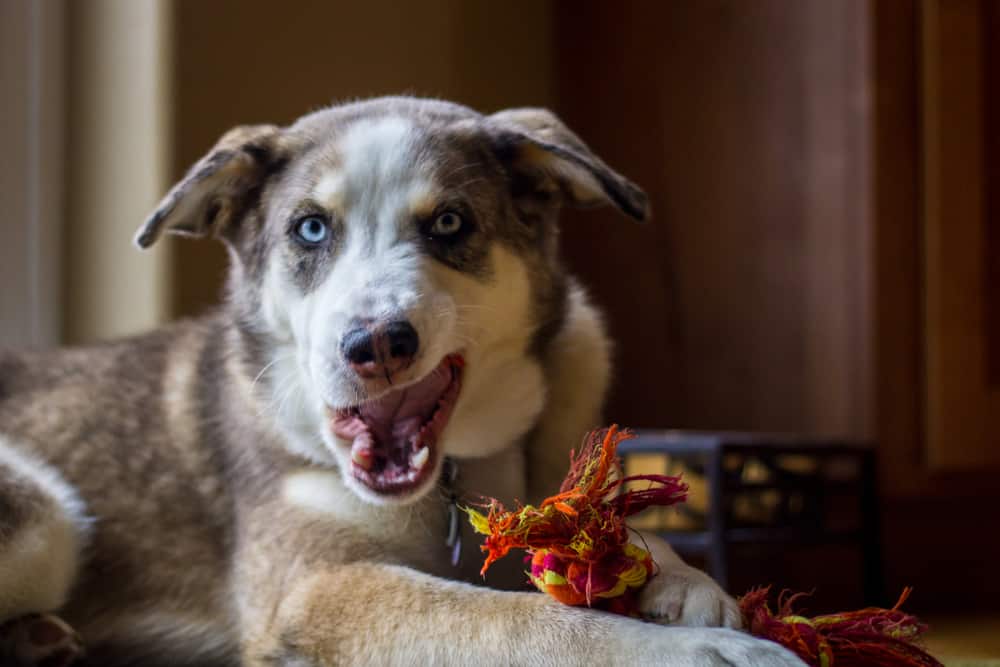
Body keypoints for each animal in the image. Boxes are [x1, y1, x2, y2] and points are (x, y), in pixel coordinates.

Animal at [0, 96, 796, 664]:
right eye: (310, 229)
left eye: (448, 223)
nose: (375, 344)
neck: (450, 480)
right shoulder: (317, 584)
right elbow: (519, 619)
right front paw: (707, 650)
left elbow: (608, 529)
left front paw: (685, 583)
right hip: (44, 511)